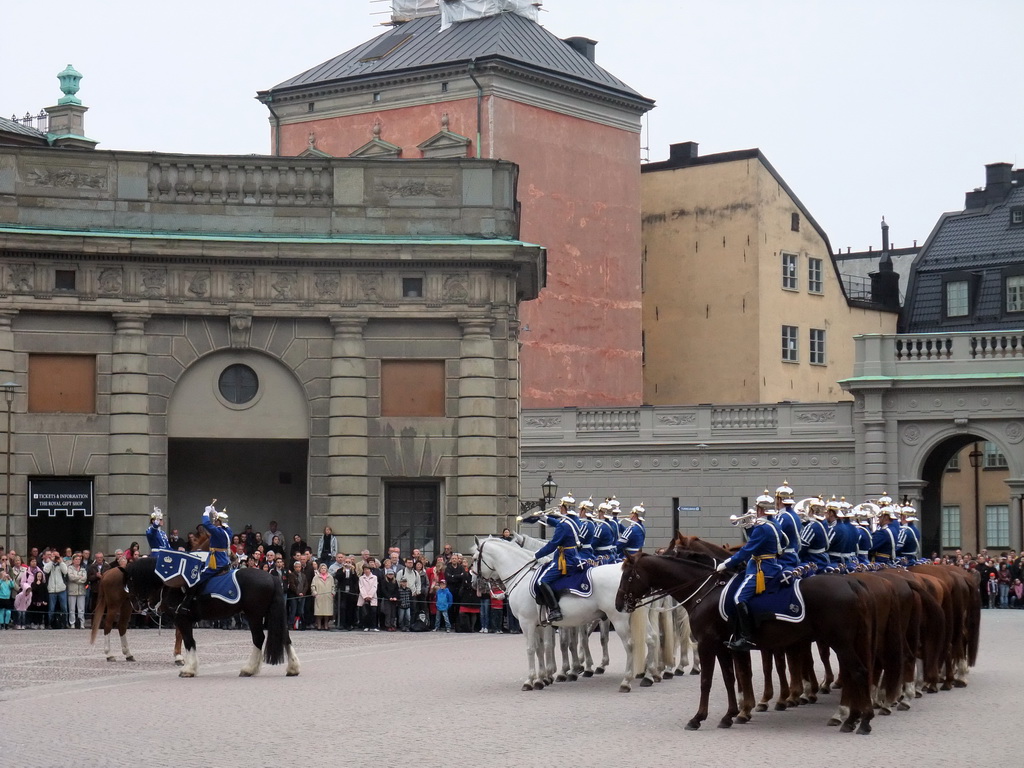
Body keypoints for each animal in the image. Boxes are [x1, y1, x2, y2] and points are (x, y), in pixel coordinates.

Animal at [471, 536, 647, 696]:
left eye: (473, 559)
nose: (474, 583)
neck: (522, 577)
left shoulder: (526, 623)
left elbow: (532, 649)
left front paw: (530, 680)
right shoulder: (540, 624)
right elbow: (541, 648)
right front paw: (541, 679)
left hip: (617, 619)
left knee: (628, 645)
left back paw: (625, 681)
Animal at [614, 552, 872, 733]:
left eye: (628, 576)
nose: (618, 604)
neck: (705, 593)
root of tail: (851, 583)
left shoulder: (707, 644)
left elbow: (707, 681)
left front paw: (698, 718)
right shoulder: (723, 646)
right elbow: (730, 679)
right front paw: (730, 715)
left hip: (841, 643)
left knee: (858, 673)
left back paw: (860, 720)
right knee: (855, 673)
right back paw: (853, 718)